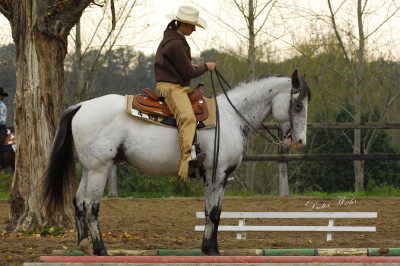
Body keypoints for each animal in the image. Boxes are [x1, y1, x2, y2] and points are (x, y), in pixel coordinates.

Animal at [43, 69, 312, 256]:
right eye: (298, 105)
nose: (300, 141)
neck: (230, 117)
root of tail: (81, 106)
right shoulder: (216, 173)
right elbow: (214, 212)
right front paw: (210, 249)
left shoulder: (219, 177)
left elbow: (213, 211)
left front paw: (211, 247)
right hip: (100, 168)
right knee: (91, 206)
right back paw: (100, 249)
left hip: (89, 168)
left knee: (78, 202)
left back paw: (83, 246)